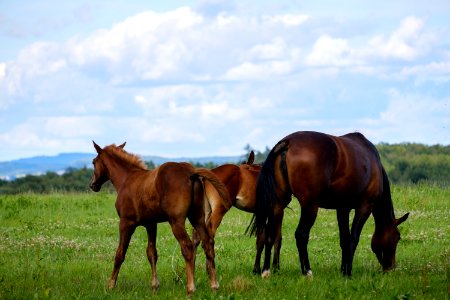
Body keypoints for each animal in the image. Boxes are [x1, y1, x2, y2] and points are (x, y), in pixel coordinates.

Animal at [88, 142, 230, 294]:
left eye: (94, 162)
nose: (92, 185)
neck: (127, 179)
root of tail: (190, 172)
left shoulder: (126, 223)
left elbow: (120, 254)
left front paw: (111, 285)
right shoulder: (151, 224)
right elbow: (152, 253)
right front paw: (154, 286)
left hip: (176, 221)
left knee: (187, 247)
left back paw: (191, 288)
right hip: (197, 218)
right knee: (208, 243)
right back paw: (214, 286)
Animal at [248, 132, 410, 278]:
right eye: (397, 237)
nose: (391, 267)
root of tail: (288, 142)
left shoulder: (343, 208)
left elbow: (344, 239)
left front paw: (343, 269)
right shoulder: (364, 207)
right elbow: (353, 238)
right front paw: (348, 272)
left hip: (277, 205)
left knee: (270, 234)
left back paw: (266, 271)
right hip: (310, 207)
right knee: (301, 235)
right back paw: (307, 271)